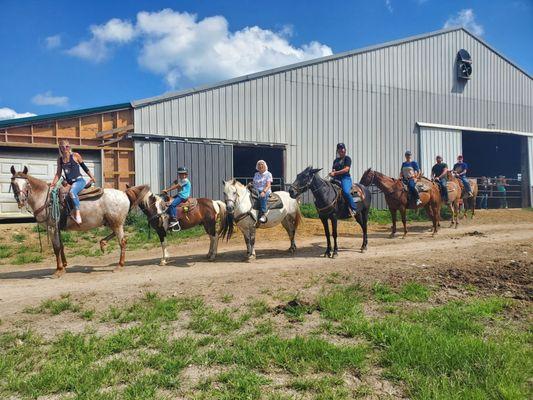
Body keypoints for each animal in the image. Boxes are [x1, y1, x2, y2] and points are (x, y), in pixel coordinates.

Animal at [8, 166, 150, 278]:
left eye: (27, 184)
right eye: (14, 183)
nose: (21, 201)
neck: (45, 198)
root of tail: (124, 194)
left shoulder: (52, 227)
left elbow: (56, 247)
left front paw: (58, 270)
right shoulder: (57, 228)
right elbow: (61, 246)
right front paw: (64, 266)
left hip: (117, 223)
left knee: (122, 242)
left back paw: (119, 265)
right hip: (113, 222)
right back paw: (103, 243)